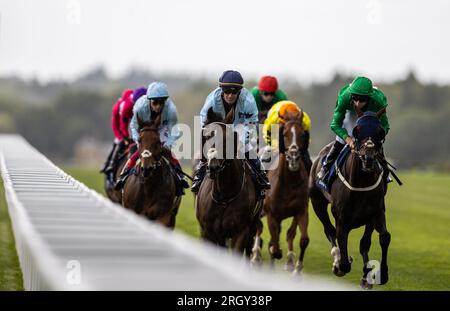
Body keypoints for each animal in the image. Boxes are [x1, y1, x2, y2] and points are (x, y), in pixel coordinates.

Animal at [194, 108, 258, 258]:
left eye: (227, 139)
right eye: (206, 137)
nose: (214, 167)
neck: (224, 195)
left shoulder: (241, 232)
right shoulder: (208, 232)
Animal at [250, 111, 310, 274]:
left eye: (302, 134)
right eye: (284, 134)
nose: (294, 156)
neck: (289, 182)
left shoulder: (301, 210)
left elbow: (300, 238)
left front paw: (295, 266)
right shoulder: (272, 214)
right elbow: (275, 245)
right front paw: (275, 252)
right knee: (259, 228)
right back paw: (256, 255)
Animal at [310, 109, 390, 290]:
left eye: (380, 131)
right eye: (357, 131)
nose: (368, 157)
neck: (361, 183)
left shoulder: (376, 212)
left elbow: (380, 238)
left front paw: (378, 274)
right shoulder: (342, 220)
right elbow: (344, 258)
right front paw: (340, 264)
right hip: (317, 203)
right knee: (329, 230)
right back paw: (337, 259)